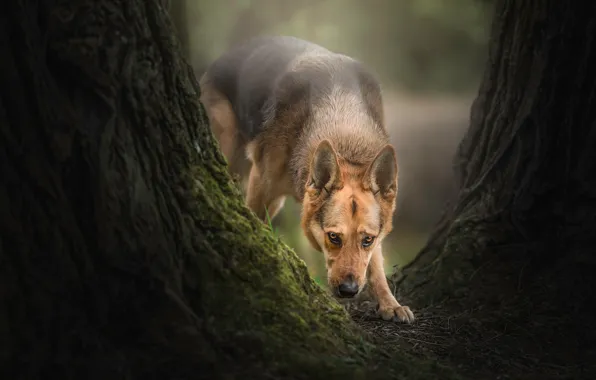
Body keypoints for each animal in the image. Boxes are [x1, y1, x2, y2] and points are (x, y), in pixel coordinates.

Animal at [200, 35, 414, 322]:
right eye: (333, 237)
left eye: (366, 240)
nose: (349, 291)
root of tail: (228, 54)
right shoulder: (262, 188)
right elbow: (254, 220)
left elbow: (376, 265)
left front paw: (390, 303)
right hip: (229, 152)